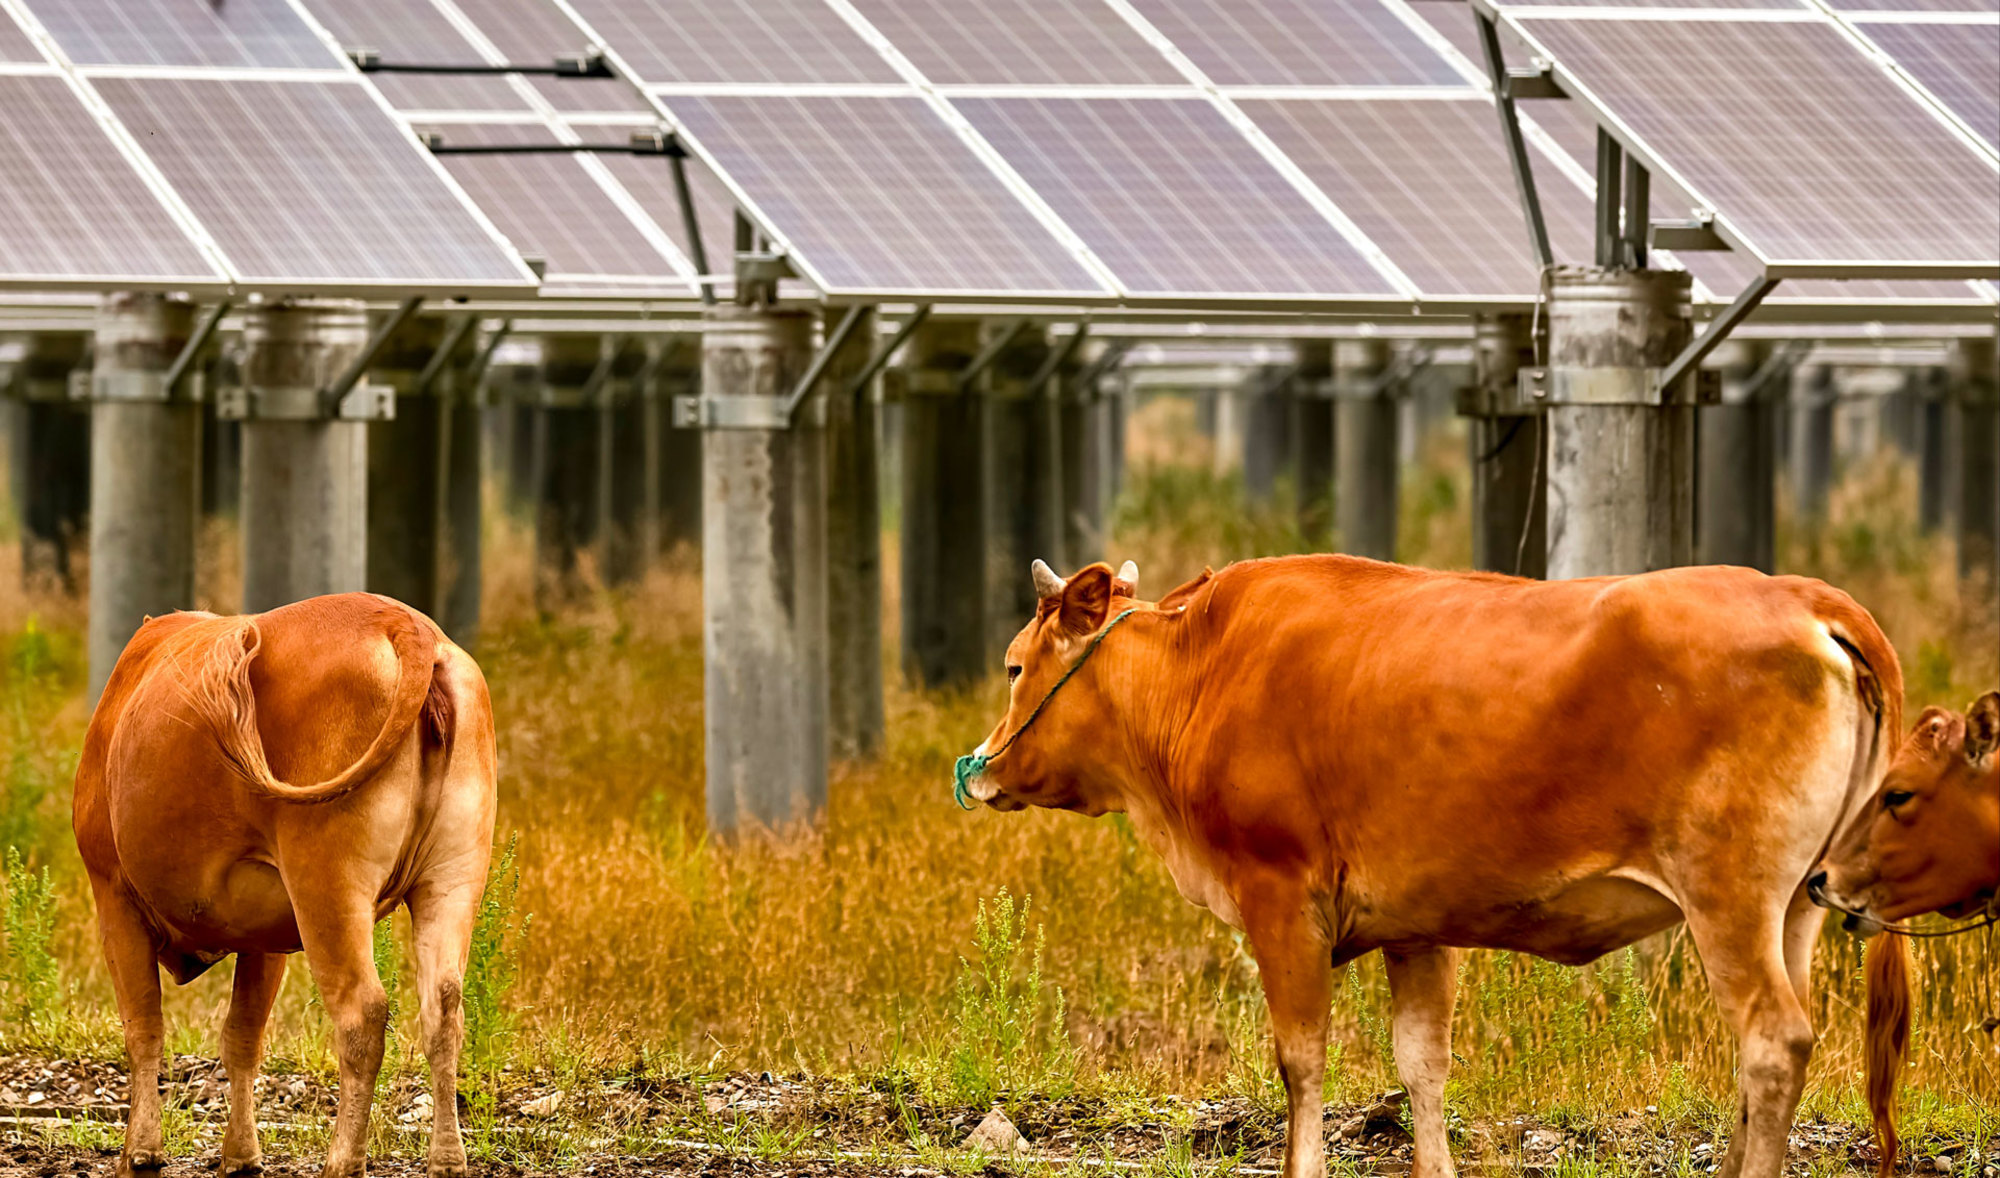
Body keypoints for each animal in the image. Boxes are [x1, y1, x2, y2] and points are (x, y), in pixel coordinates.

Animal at [74, 593, 498, 1178]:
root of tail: (404, 621)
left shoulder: (113, 893)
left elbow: (144, 1029)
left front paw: (140, 1154)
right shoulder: (266, 932)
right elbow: (243, 1037)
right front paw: (241, 1154)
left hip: (326, 883)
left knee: (363, 1013)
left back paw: (343, 1161)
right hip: (453, 876)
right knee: (444, 1009)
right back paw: (448, 1159)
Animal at [959, 556, 1900, 1178]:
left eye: (1012, 666)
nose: (984, 769)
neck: (1202, 670)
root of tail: (1807, 595)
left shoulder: (1280, 898)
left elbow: (1301, 1060)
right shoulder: (1417, 925)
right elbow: (1423, 1063)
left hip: (1728, 896)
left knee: (1772, 1042)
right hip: (1795, 909)